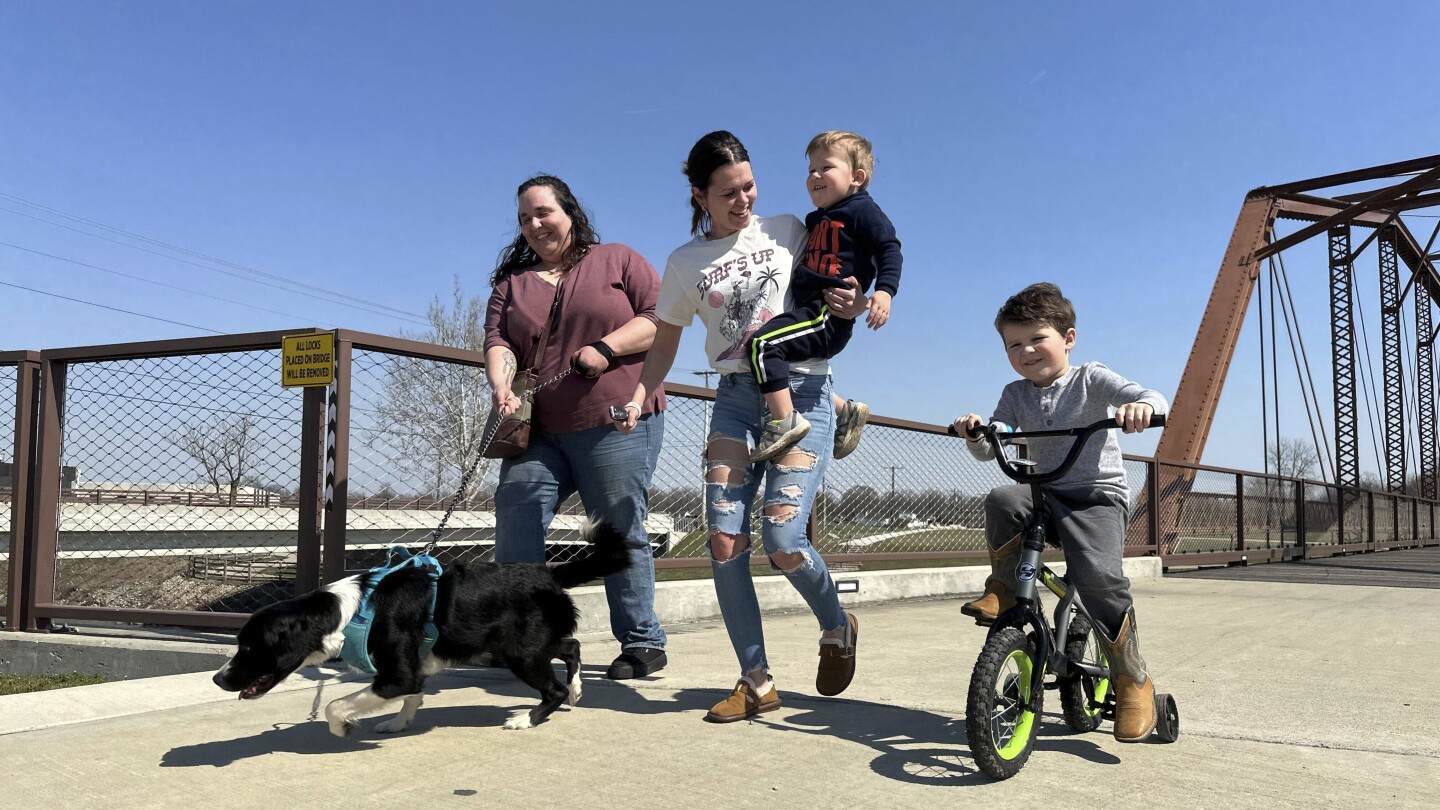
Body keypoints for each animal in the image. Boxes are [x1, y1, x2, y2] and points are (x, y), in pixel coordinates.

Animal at [210, 515, 627, 732]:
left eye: (249, 647)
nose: (216, 679)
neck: (350, 610)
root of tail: (550, 573)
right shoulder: (414, 668)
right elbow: (413, 694)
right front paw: (398, 723)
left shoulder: (397, 675)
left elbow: (335, 704)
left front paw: (343, 726)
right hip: (522, 644)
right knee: (571, 646)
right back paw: (576, 690)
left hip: (520, 652)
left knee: (553, 686)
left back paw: (527, 718)